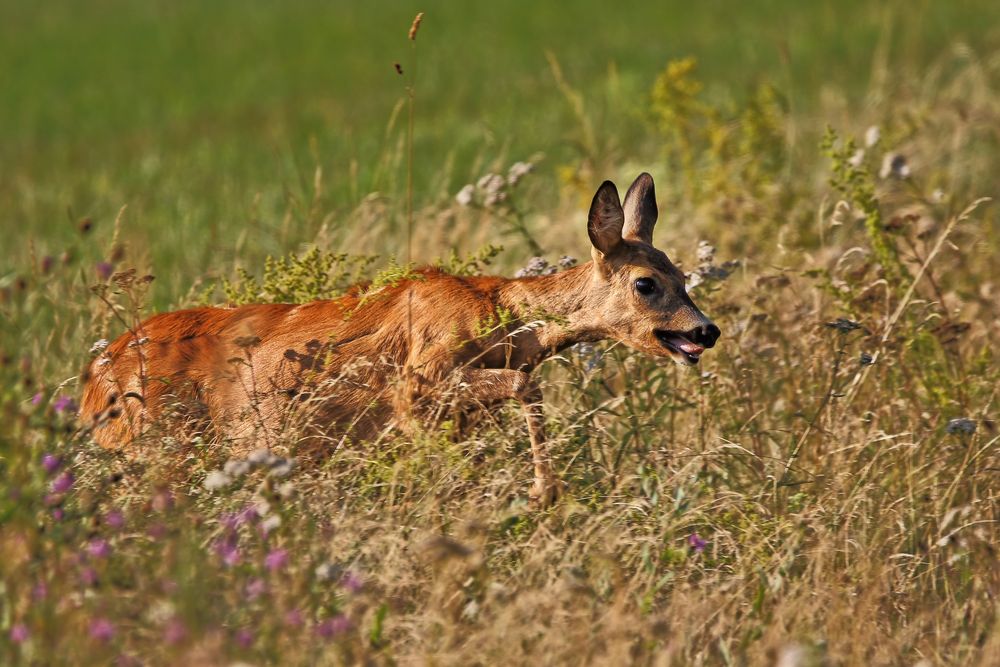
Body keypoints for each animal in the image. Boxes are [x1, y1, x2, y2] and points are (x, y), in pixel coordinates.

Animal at [80, 174, 720, 506]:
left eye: (684, 276)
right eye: (646, 283)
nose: (705, 330)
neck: (497, 317)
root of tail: (94, 380)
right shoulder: (418, 380)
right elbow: (524, 385)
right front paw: (544, 491)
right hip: (153, 444)